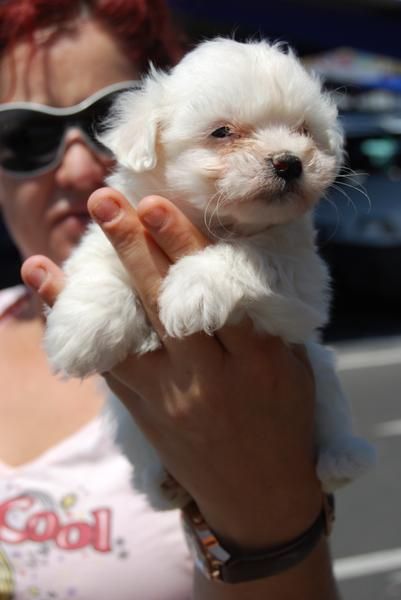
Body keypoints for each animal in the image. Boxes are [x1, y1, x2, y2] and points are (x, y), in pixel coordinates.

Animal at [44, 37, 376, 508]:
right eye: (222, 133)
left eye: (304, 131)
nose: (290, 162)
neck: (211, 219)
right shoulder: (110, 233)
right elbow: (98, 271)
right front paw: (82, 332)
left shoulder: (303, 281)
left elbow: (250, 255)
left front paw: (192, 288)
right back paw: (160, 482)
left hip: (321, 371)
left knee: (332, 415)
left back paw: (343, 459)